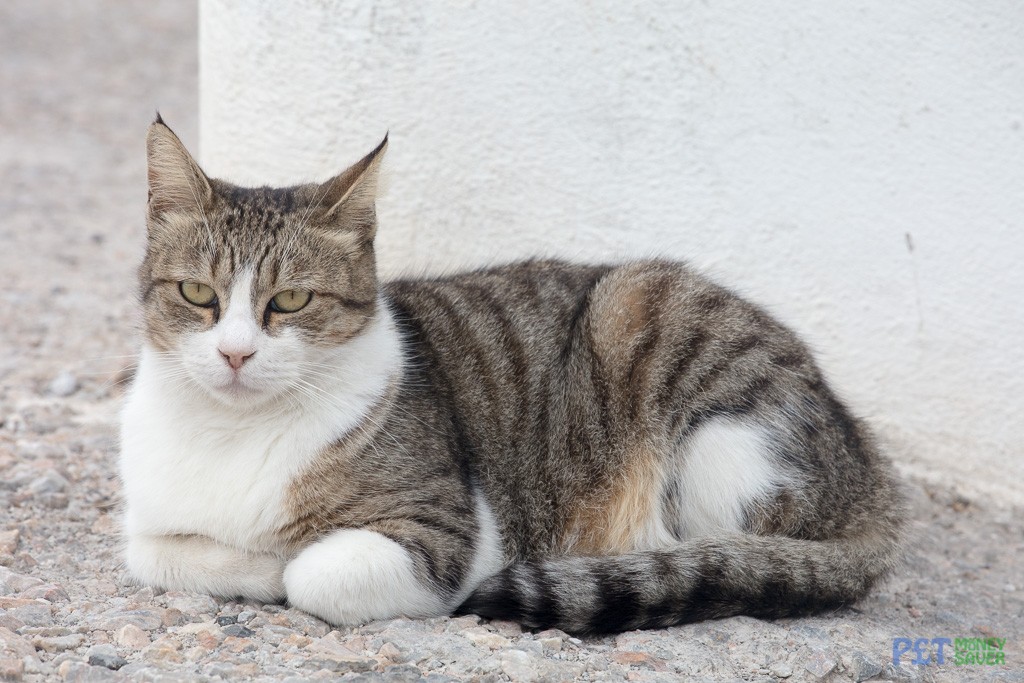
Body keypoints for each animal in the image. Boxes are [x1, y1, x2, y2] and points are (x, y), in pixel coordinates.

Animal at [116, 114, 909, 634]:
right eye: (198, 294)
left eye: (289, 301)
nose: (235, 353)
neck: (236, 433)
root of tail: (871, 469)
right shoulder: (149, 519)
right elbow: (157, 552)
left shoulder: (455, 531)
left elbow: (311, 571)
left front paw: (280, 560)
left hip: (661, 340)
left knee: (729, 553)